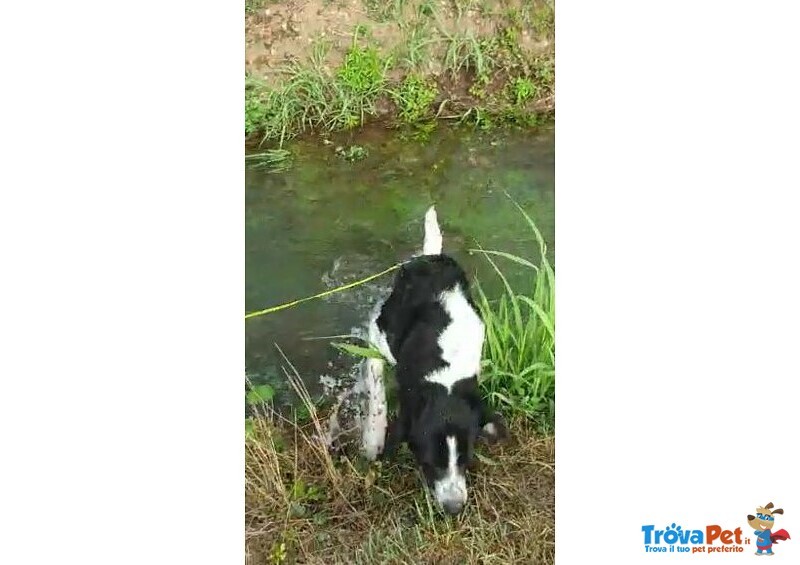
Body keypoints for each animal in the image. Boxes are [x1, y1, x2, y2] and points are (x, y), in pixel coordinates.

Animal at [364, 208, 504, 516]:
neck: (445, 371)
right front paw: (373, 437)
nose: (454, 508)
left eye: (466, 459)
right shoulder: (377, 337)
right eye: (429, 462)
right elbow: (375, 387)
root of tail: (431, 257)